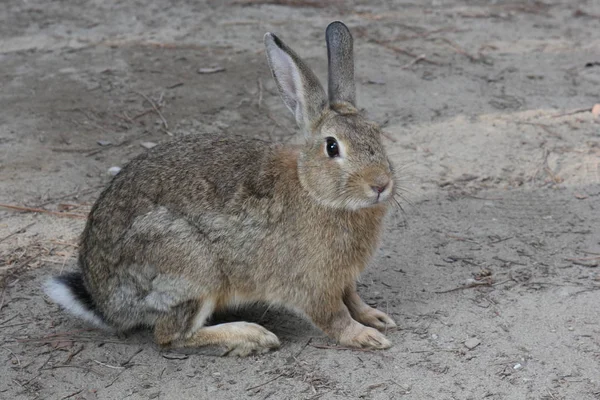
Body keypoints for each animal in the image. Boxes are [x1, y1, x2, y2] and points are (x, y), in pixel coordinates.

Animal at [44, 21, 396, 356]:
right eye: (332, 147)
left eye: (376, 132)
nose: (380, 184)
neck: (313, 190)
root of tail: (105, 303)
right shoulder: (312, 284)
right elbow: (333, 316)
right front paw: (365, 336)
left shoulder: (343, 279)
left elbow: (353, 298)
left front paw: (376, 317)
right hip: (191, 268)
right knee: (169, 336)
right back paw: (250, 337)